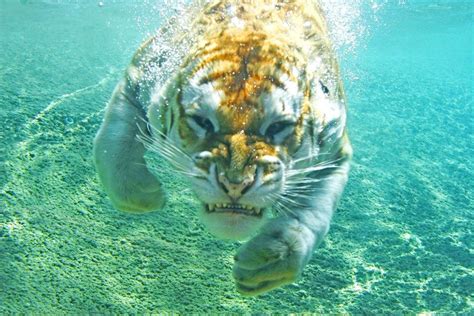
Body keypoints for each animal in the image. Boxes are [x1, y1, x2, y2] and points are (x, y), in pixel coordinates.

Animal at [93, 0, 352, 296]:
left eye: (276, 127)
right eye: (203, 122)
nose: (235, 184)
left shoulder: (336, 149)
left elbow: (314, 215)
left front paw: (268, 263)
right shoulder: (137, 78)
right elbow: (111, 144)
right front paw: (146, 196)